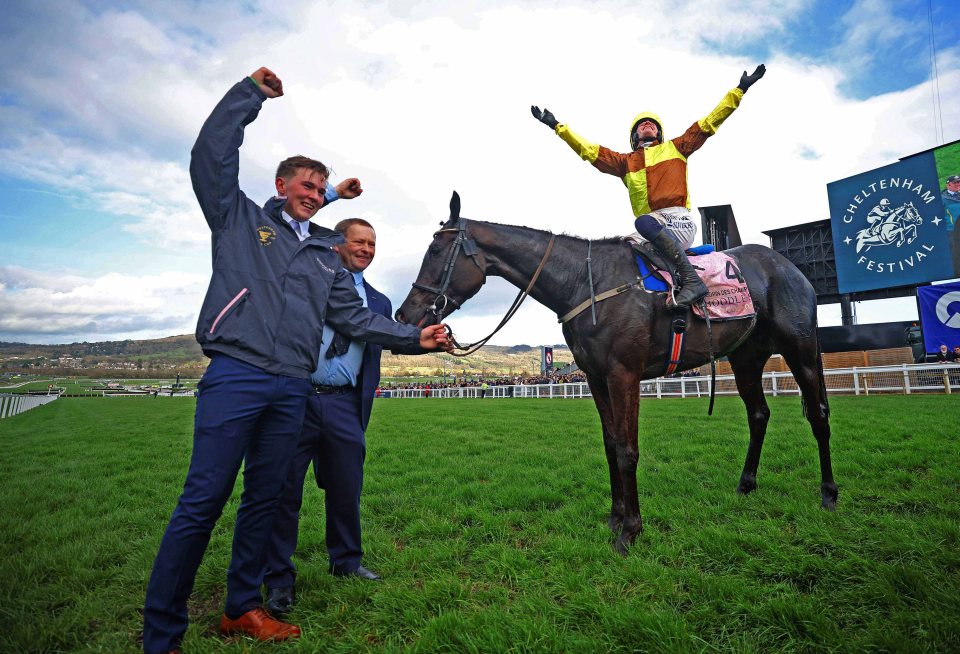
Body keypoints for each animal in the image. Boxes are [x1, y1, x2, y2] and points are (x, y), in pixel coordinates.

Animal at [394, 192, 836, 556]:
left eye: (436, 250)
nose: (404, 314)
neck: (584, 283)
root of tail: (788, 266)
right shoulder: (596, 378)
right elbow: (610, 446)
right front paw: (614, 518)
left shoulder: (624, 375)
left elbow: (627, 450)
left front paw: (631, 531)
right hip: (745, 357)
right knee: (759, 415)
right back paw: (746, 484)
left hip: (800, 349)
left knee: (818, 416)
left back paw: (829, 494)